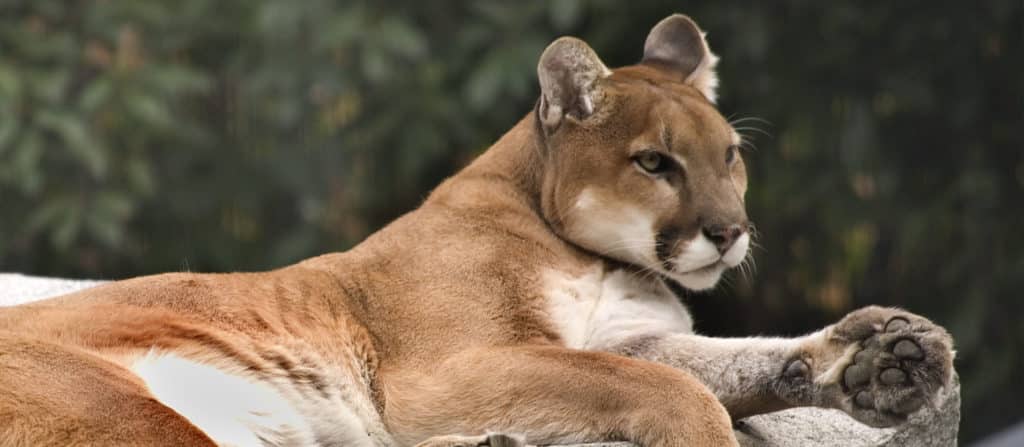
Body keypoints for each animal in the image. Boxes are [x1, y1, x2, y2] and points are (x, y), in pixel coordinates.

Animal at [0, 14, 953, 447]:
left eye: (731, 156)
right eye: (655, 162)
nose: (729, 231)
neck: (599, 256)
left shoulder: (632, 335)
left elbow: (728, 360)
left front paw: (879, 359)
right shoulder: (452, 364)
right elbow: (678, 389)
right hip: (133, 416)